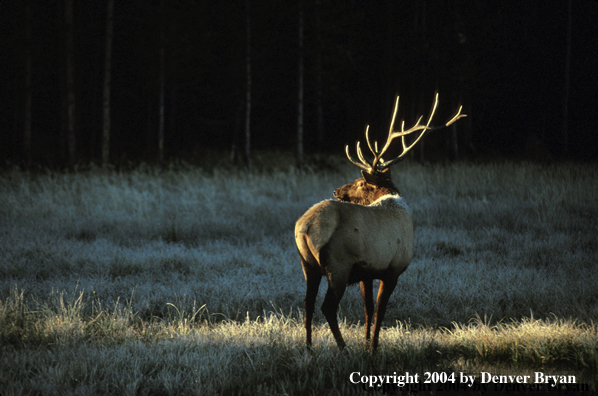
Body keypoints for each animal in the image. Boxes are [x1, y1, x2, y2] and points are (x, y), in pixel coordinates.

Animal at [296, 93, 468, 350]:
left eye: (360, 182)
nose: (337, 190)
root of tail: (304, 228)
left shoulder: (366, 273)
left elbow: (368, 309)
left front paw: (366, 343)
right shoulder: (393, 269)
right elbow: (380, 310)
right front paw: (374, 347)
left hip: (308, 264)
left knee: (307, 303)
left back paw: (308, 348)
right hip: (338, 265)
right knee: (327, 307)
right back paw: (343, 348)